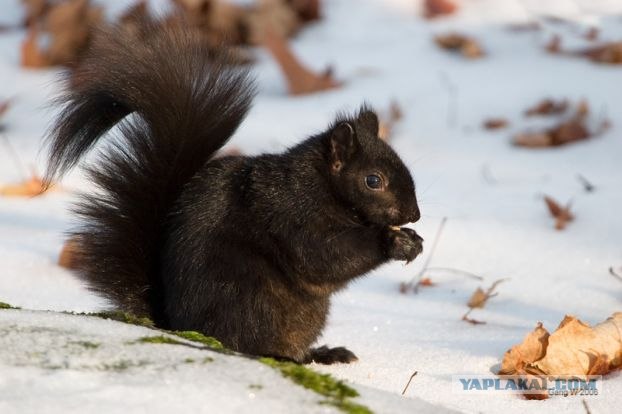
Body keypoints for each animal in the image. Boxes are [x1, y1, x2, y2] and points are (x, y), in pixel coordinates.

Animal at [45, 24, 424, 364]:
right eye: (373, 180)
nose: (414, 214)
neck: (322, 187)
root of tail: (177, 324)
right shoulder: (293, 214)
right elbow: (324, 256)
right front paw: (393, 241)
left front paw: (414, 240)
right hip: (247, 293)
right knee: (243, 341)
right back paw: (282, 357)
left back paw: (323, 353)